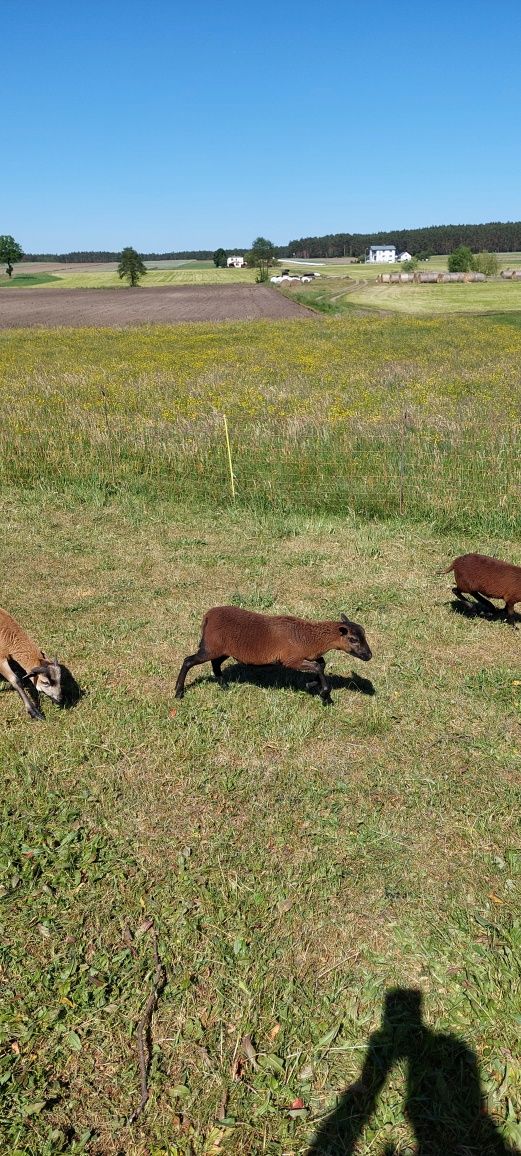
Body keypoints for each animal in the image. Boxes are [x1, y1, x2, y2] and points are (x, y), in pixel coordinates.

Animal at [175, 605, 371, 702]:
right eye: (353, 639)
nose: (369, 656)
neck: (309, 637)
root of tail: (208, 616)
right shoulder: (290, 659)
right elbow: (317, 666)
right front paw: (324, 693)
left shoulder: (306, 656)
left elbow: (321, 664)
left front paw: (312, 685)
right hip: (210, 647)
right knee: (188, 661)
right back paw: (178, 692)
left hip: (223, 648)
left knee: (215, 663)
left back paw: (223, 685)